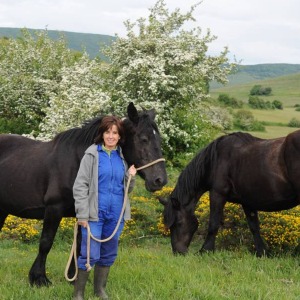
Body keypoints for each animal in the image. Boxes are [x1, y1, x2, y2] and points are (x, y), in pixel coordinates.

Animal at [0, 102, 166, 286]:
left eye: (159, 140)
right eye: (143, 139)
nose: (160, 180)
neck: (77, 162)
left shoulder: (83, 213)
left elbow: (80, 244)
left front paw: (74, 277)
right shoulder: (53, 208)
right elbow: (46, 242)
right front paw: (39, 278)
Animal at [161, 132, 300, 258]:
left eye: (178, 223)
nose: (178, 252)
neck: (215, 160)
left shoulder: (217, 194)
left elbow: (213, 224)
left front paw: (205, 250)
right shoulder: (248, 202)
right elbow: (254, 227)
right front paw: (262, 252)